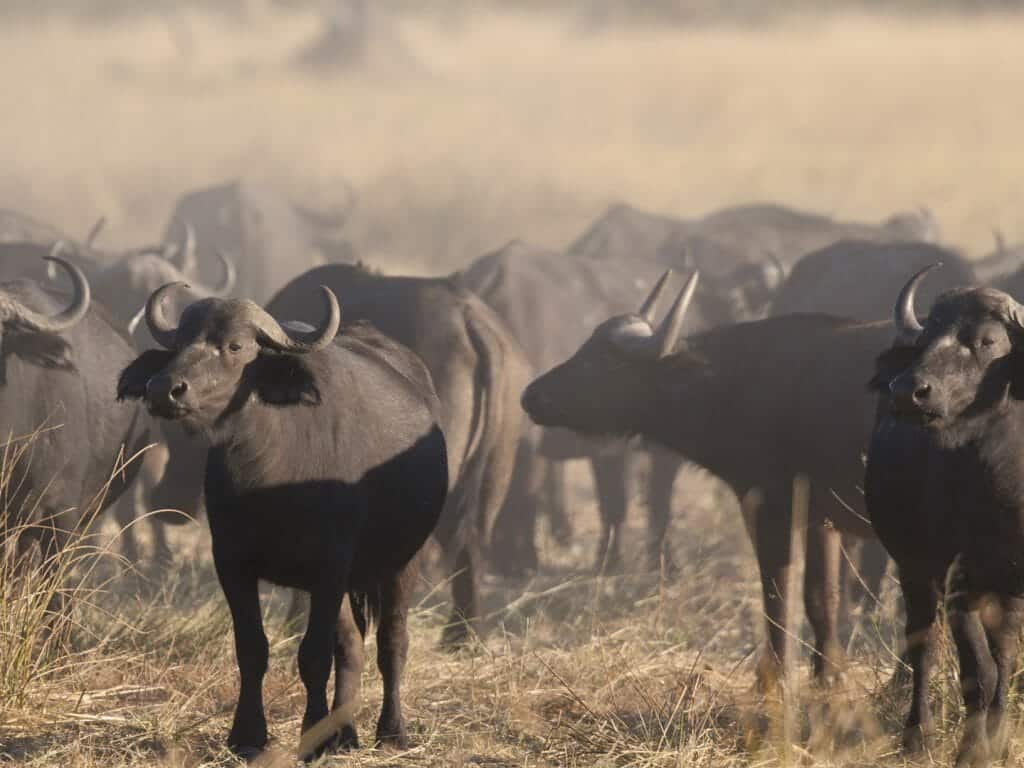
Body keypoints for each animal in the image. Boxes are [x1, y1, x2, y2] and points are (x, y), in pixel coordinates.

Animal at [117, 284, 447, 759]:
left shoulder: (330, 567)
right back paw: (345, 734)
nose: (164, 389)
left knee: (392, 641)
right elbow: (252, 648)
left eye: (236, 346)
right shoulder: (232, 563)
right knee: (351, 645)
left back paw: (391, 731)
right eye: (179, 343)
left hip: (404, 560)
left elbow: (314, 656)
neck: (267, 473)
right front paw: (247, 735)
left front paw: (311, 738)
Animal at [522, 270, 894, 690]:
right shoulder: (822, 519)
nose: (531, 395)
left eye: (600, 360)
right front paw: (828, 678)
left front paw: (772, 681)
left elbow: (777, 595)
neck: (732, 382)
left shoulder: (769, 509)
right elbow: (821, 597)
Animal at [866, 267, 1024, 766]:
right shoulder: (960, 582)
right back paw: (917, 734)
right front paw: (973, 750)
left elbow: (1005, 665)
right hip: (914, 568)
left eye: (988, 341)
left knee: (1003, 651)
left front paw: (998, 740)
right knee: (923, 646)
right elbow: (978, 672)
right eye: (926, 339)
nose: (908, 391)